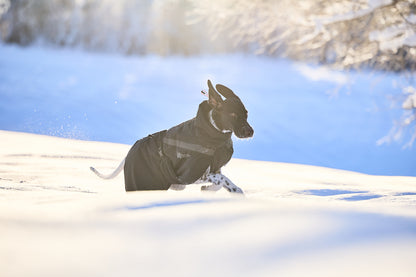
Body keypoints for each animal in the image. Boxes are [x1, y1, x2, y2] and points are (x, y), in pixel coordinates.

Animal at [90, 78, 254, 193]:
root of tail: (128, 154)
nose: (250, 132)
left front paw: (209, 190)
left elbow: (219, 182)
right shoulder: (189, 175)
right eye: (232, 115)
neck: (212, 133)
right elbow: (223, 179)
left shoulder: (213, 169)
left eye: (246, 113)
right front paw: (236, 190)